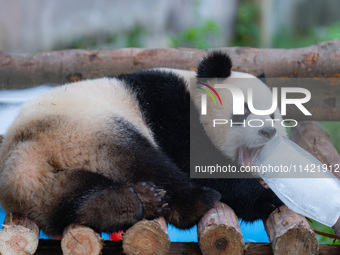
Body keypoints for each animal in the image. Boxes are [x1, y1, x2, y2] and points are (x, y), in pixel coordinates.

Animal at [0, 51, 282, 237]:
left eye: (272, 113)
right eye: (243, 111)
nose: (269, 131)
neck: (195, 94)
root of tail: (25, 151)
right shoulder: (169, 108)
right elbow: (198, 162)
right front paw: (267, 198)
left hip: (45, 188)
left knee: (72, 196)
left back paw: (119, 204)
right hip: (92, 128)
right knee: (145, 161)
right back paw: (194, 202)